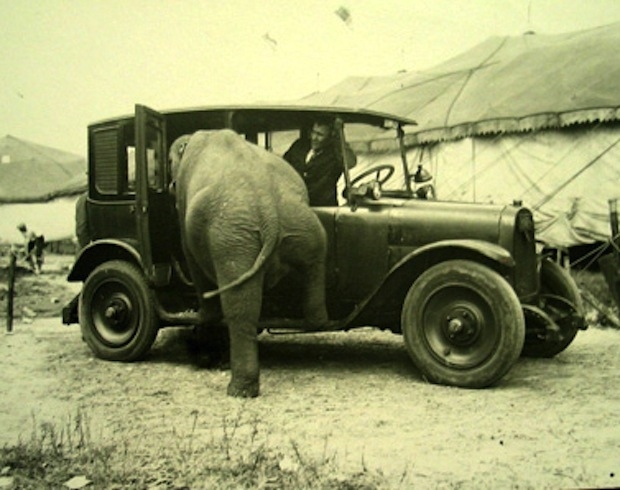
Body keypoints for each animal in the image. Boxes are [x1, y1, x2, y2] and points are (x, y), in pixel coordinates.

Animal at [167, 128, 332, 396]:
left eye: (169, 162)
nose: (169, 186)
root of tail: (269, 209)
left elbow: (188, 251)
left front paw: (204, 317)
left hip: (232, 237)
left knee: (240, 307)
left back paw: (239, 390)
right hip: (300, 221)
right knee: (315, 261)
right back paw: (316, 321)